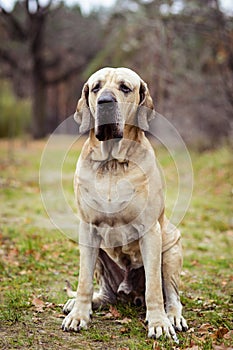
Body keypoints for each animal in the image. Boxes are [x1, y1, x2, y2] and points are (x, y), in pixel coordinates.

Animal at [61, 67, 187, 340]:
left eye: (125, 88)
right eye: (96, 88)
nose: (105, 102)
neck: (112, 163)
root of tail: (128, 293)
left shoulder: (151, 231)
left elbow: (154, 288)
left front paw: (159, 323)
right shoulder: (87, 229)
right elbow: (84, 280)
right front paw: (79, 315)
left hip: (171, 249)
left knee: (170, 294)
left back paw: (172, 316)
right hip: (100, 256)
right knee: (104, 293)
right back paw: (82, 302)